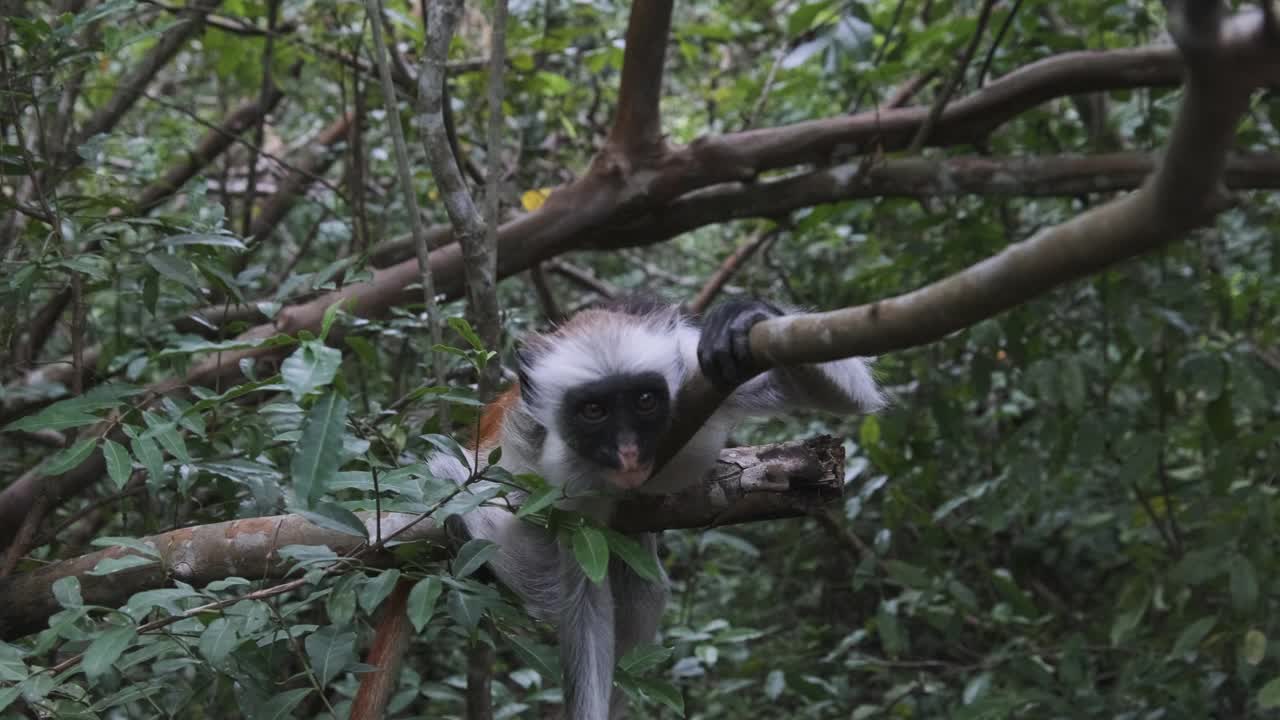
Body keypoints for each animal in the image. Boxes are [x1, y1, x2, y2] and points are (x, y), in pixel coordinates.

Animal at [424, 293, 885, 717]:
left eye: (644, 401)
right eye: (594, 410)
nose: (628, 453)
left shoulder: (699, 377)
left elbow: (842, 392)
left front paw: (749, 316)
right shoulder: (553, 473)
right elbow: (580, 599)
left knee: (642, 588)